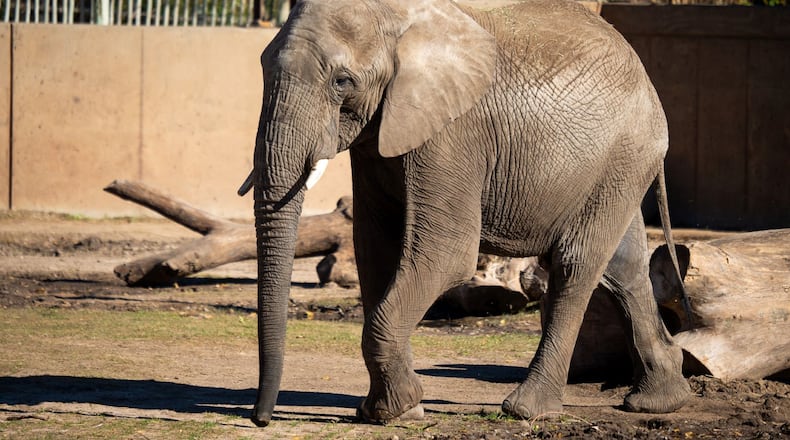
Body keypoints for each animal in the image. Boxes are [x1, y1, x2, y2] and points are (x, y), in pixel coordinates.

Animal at [239, 0, 692, 427]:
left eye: (342, 82)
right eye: (261, 68)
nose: (260, 418)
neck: (398, 18)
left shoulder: (453, 135)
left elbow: (447, 254)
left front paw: (394, 411)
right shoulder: (378, 138)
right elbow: (375, 251)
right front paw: (395, 411)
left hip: (624, 153)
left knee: (574, 266)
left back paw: (527, 410)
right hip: (617, 169)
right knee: (623, 268)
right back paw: (657, 402)